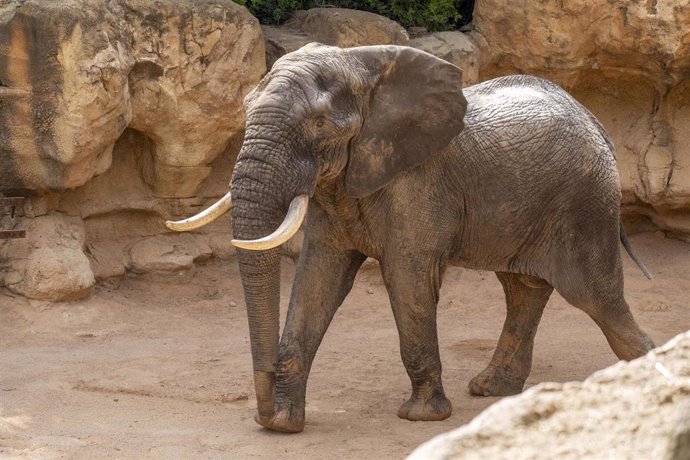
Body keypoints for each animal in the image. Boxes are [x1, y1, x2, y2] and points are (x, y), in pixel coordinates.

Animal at [165, 42, 652, 432]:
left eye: (319, 124)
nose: (262, 414)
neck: (360, 66)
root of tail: (594, 119)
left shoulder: (418, 184)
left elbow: (407, 278)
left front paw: (422, 417)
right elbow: (319, 277)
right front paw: (286, 424)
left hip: (586, 204)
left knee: (597, 295)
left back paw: (643, 373)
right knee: (522, 288)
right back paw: (491, 388)